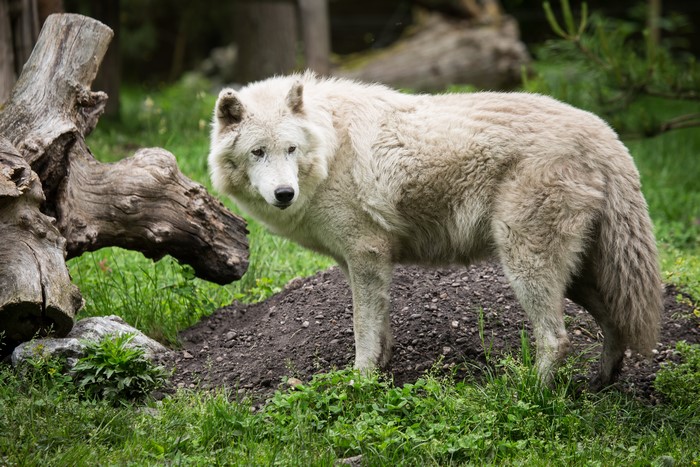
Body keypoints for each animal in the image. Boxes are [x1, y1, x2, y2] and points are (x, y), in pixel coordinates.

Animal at [208, 72, 662, 387]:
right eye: (258, 152)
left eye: (291, 149)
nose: (284, 193)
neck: (330, 145)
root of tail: (607, 136)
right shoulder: (360, 264)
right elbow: (380, 326)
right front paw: (382, 368)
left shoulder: (366, 255)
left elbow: (362, 330)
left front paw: (361, 381)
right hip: (576, 276)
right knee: (616, 322)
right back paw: (599, 382)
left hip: (527, 267)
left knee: (556, 338)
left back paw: (531, 393)